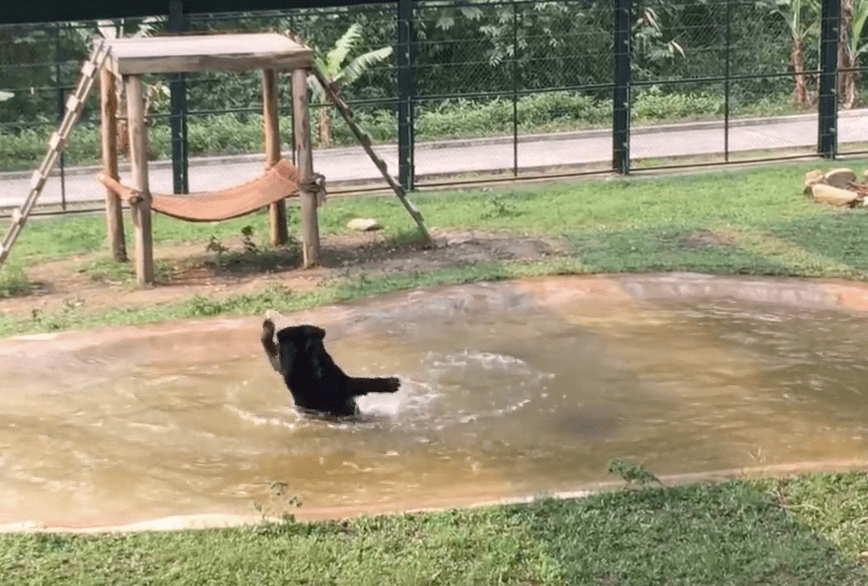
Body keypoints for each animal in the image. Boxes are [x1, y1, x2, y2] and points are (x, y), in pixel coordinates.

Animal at [261, 318, 401, 418]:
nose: (322, 330)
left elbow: (272, 355)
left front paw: (268, 327)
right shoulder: (339, 383)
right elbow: (361, 383)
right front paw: (392, 383)